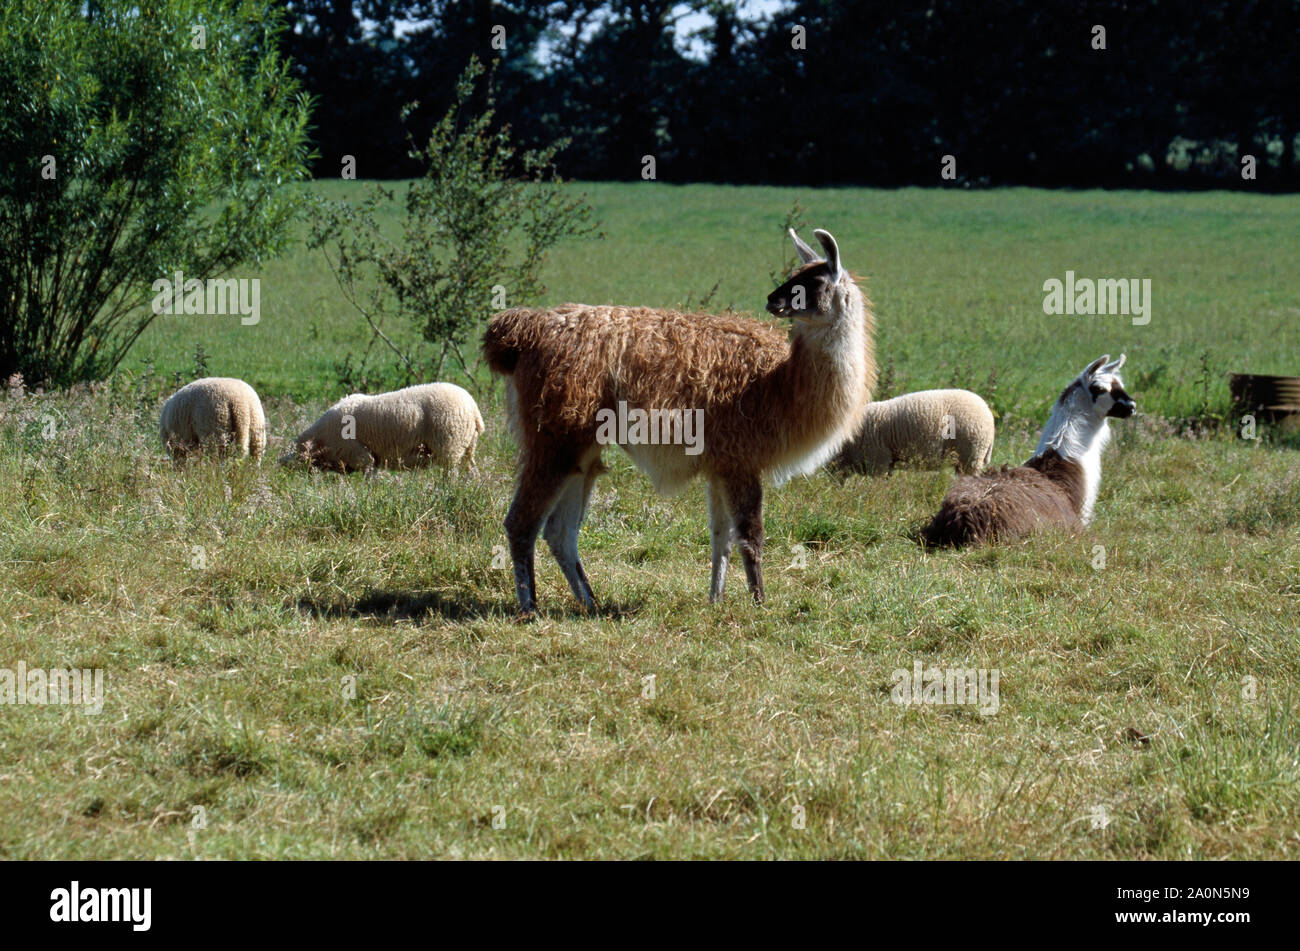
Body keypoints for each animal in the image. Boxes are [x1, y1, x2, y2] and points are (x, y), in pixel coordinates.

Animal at [286, 382, 484, 475]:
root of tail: (473, 406)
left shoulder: (360, 454)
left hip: (450, 445)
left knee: (451, 473)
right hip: (467, 446)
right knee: (472, 470)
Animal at [482, 227, 876, 615]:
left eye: (809, 281)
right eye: (795, 278)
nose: (771, 300)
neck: (780, 380)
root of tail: (527, 329)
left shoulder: (721, 462)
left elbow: (721, 537)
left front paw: (715, 600)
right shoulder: (741, 458)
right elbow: (751, 536)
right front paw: (760, 604)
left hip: (580, 449)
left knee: (559, 532)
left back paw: (591, 604)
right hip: (553, 436)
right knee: (521, 523)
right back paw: (529, 608)